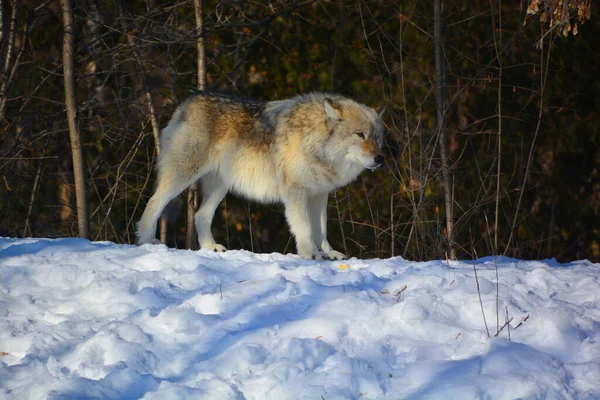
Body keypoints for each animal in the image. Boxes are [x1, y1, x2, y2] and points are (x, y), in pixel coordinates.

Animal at [137, 90, 384, 260]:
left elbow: (321, 229)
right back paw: (148, 240)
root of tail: (186, 103)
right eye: (360, 135)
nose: (380, 159)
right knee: (154, 203)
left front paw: (329, 253)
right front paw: (310, 253)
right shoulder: (296, 191)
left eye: (377, 137)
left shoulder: (319, 195)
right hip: (184, 175)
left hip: (220, 186)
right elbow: (304, 227)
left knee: (200, 215)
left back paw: (211, 247)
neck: (314, 141)